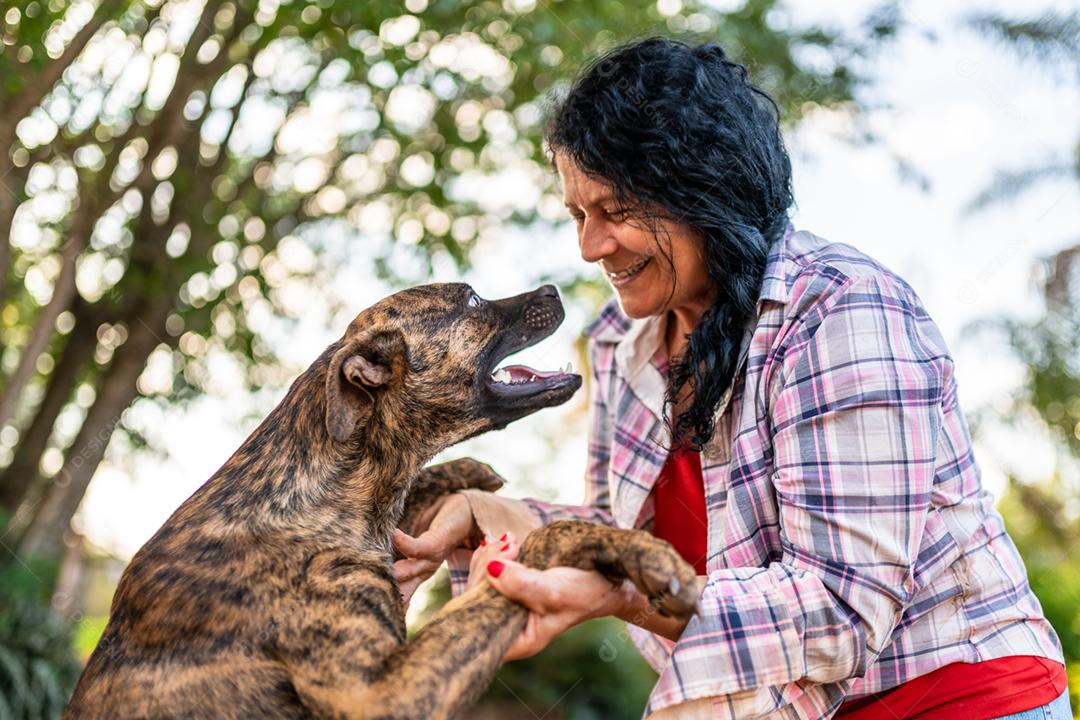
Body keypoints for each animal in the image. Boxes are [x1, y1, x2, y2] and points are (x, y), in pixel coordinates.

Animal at [63, 284, 695, 720]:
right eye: (471, 299)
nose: (553, 290)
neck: (317, 502)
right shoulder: (384, 691)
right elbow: (544, 538)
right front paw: (643, 553)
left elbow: (416, 485)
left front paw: (465, 473)